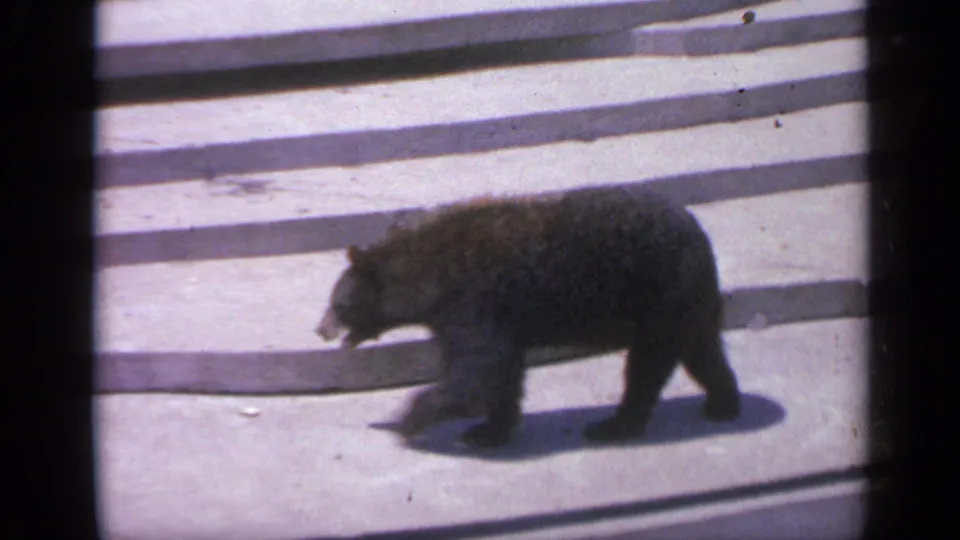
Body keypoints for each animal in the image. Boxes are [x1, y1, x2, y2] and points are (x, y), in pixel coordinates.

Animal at [316, 186, 741, 449]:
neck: (430, 274)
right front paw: (490, 430)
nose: (320, 329)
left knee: (647, 366)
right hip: (682, 304)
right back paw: (723, 404)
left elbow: (478, 370)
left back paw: (614, 425)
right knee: (701, 350)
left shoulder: (472, 302)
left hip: (660, 297)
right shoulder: (486, 317)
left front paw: (411, 419)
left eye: (337, 303)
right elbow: (502, 373)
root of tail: (700, 235)